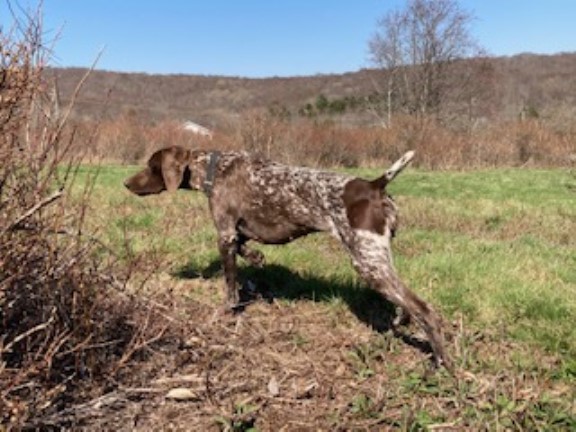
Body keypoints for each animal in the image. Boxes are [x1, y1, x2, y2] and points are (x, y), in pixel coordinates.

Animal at [124, 145, 452, 368]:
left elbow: (230, 286)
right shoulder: (238, 233)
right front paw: (257, 258)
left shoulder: (225, 234)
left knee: (426, 311)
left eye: (151, 166)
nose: (126, 184)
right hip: (379, 259)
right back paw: (402, 320)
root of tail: (375, 185)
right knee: (406, 301)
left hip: (367, 261)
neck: (213, 170)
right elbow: (247, 250)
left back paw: (441, 363)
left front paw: (226, 314)